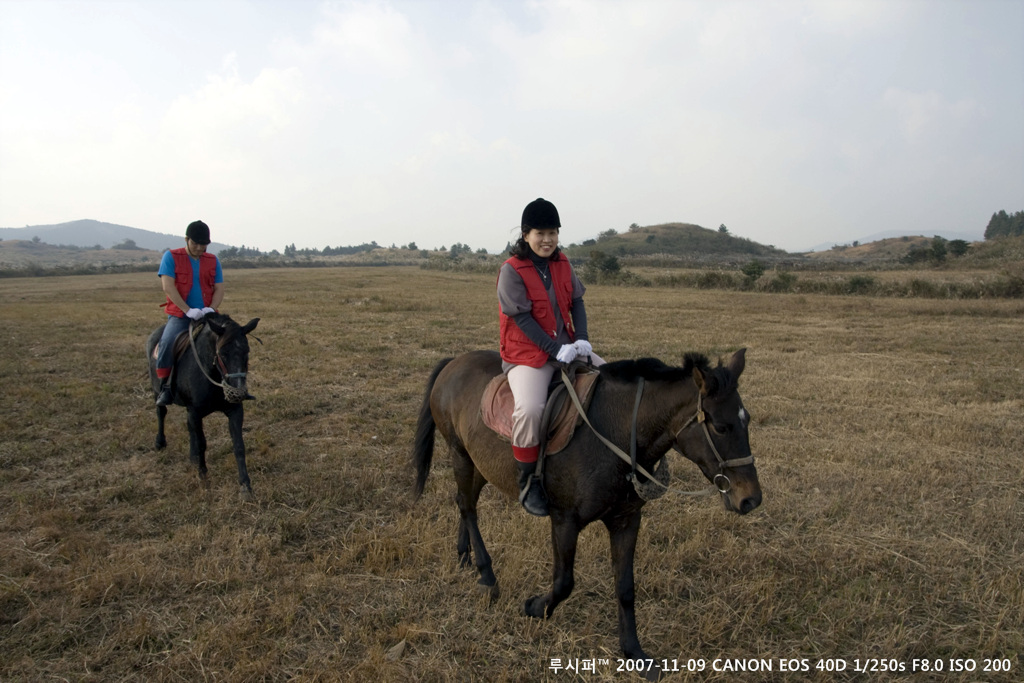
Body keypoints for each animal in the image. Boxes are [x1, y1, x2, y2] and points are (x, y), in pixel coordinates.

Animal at [147, 313, 260, 499]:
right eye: (221, 353)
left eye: (247, 351)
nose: (238, 393)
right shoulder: (195, 411)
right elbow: (202, 443)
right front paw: (203, 475)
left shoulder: (235, 410)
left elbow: (238, 445)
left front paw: (245, 485)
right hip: (158, 392)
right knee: (161, 412)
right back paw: (160, 442)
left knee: (189, 428)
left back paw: (192, 457)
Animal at [413, 348, 761, 671]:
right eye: (720, 427)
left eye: (747, 420)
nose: (751, 499)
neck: (617, 432)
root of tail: (455, 361)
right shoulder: (565, 521)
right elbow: (564, 582)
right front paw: (535, 607)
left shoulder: (626, 521)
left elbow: (625, 588)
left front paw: (634, 653)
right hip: (460, 454)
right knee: (468, 507)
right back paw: (486, 574)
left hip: (480, 463)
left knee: (464, 502)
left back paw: (464, 555)